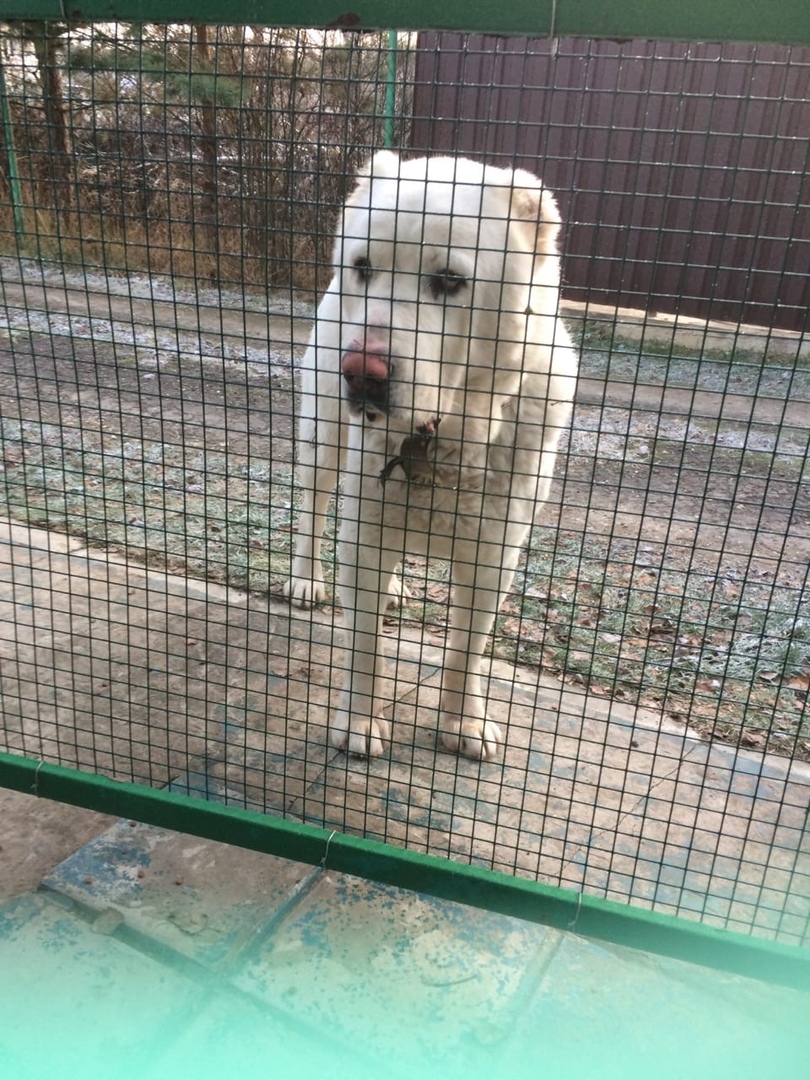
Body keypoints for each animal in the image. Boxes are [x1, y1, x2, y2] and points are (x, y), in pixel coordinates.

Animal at [284, 152, 578, 760]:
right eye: (364, 267)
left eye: (449, 280)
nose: (362, 374)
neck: (443, 435)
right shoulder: (364, 534)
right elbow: (365, 649)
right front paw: (358, 725)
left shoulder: (494, 557)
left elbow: (466, 652)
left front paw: (462, 724)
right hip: (322, 439)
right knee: (312, 507)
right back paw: (306, 580)